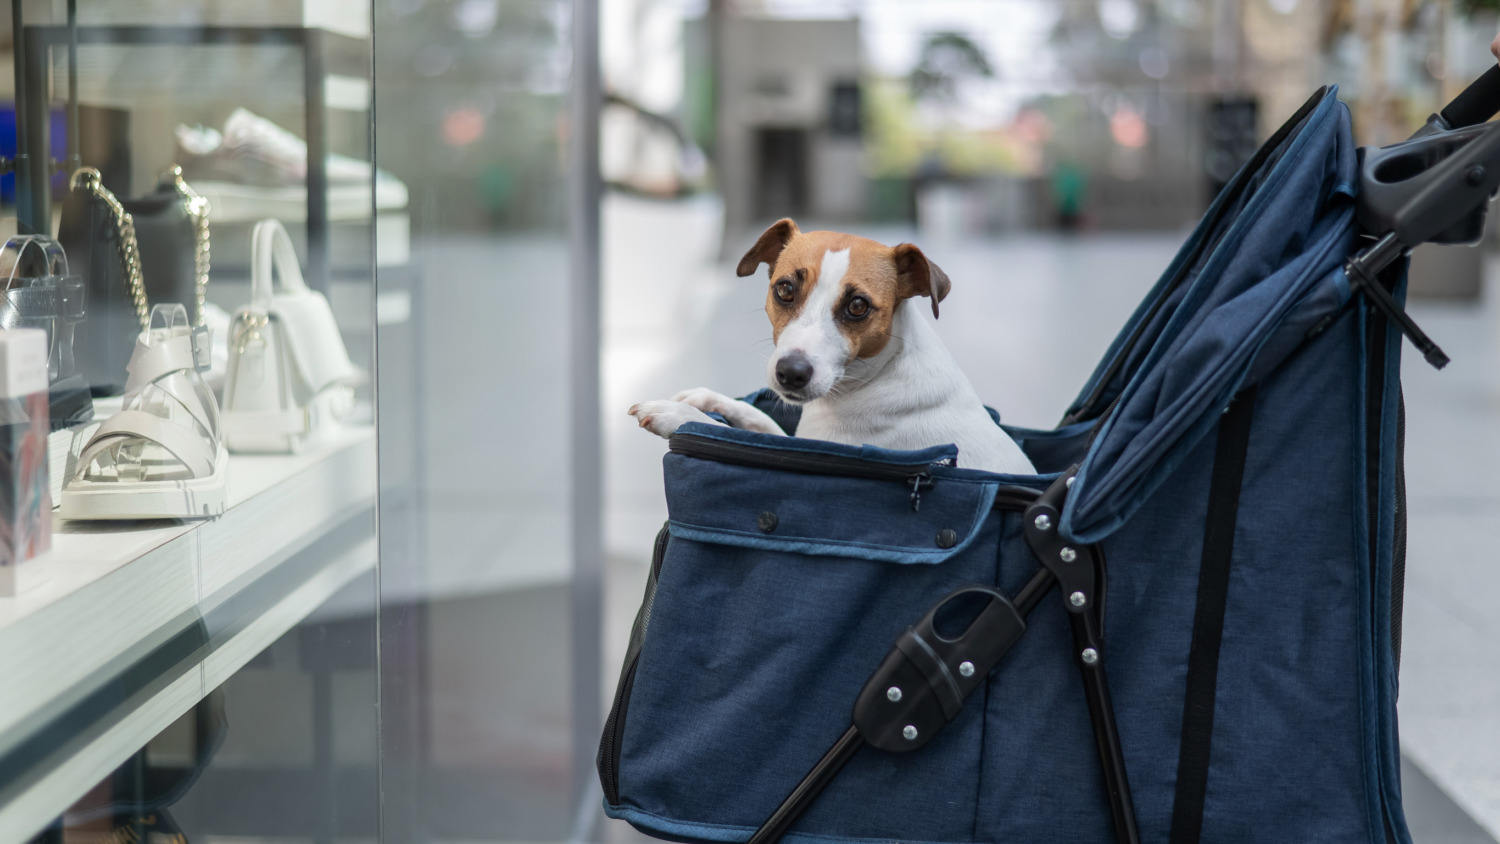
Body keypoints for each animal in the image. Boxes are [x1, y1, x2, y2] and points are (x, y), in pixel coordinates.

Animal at [627, 217, 1038, 476]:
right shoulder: (800, 441)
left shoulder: (819, 455)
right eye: (784, 289)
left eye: (858, 306)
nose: (790, 374)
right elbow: (757, 420)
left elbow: (728, 435)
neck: (878, 374)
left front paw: (674, 414)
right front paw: (705, 399)